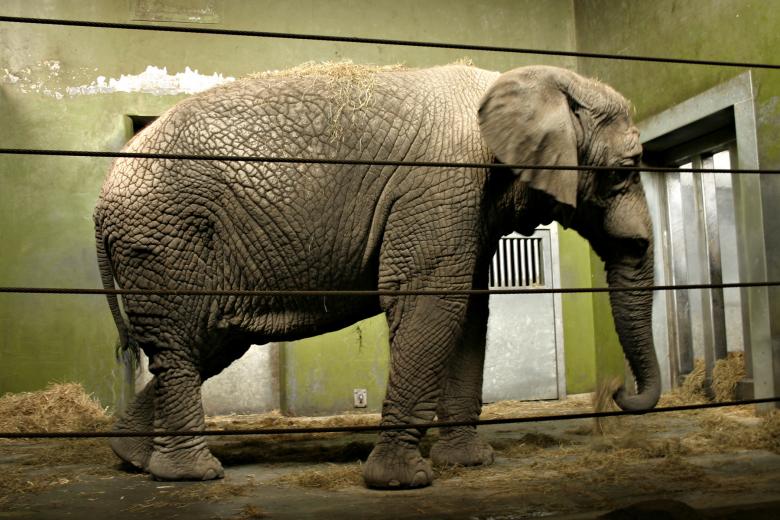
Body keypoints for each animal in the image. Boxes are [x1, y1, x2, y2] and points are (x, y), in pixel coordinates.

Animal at [94, 63, 660, 488]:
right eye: (624, 170)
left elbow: (468, 312)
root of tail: (102, 198)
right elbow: (429, 301)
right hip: (165, 240)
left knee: (207, 346)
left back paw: (133, 459)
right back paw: (191, 474)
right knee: (181, 346)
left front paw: (469, 464)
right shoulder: (437, 186)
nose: (615, 392)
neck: (523, 79)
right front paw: (402, 481)